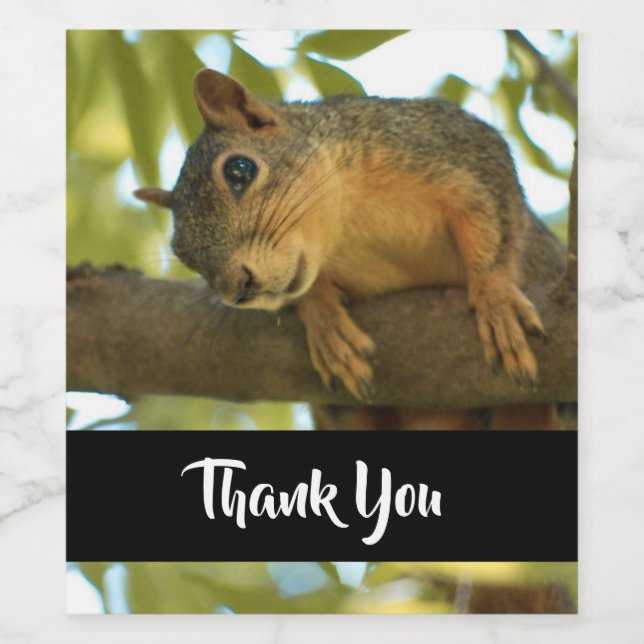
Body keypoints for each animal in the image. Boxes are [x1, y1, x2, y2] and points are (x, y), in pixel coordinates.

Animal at [134, 68, 566, 429]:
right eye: (183, 254)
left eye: (239, 170)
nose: (239, 290)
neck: (344, 228)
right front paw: (324, 320)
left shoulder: (455, 148)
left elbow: (494, 219)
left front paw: (495, 298)